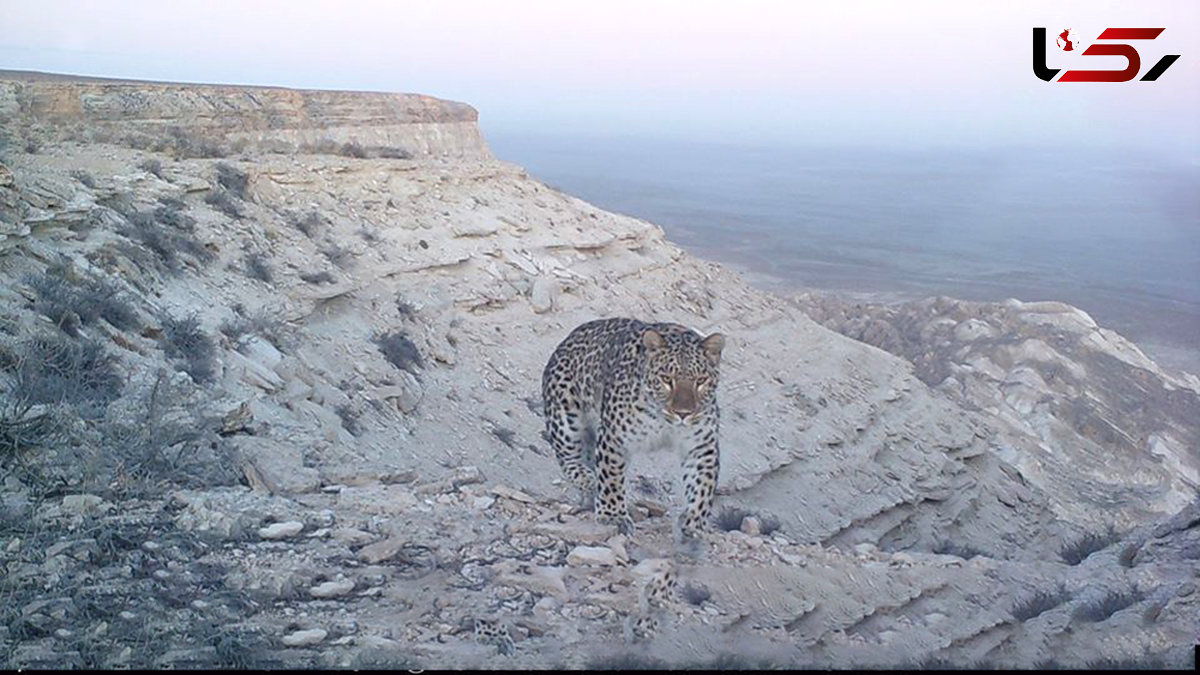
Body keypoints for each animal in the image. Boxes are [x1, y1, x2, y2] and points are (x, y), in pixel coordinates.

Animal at [542, 314, 724, 535]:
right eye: (666, 379)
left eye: (701, 381)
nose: (683, 413)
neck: (664, 422)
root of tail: (565, 341)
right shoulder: (614, 437)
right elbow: (611, 477)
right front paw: (613, 516)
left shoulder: (701, 445)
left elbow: (703, 485)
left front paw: (694, 523)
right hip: (566, 419)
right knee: (570, 460)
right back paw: (588, 480)